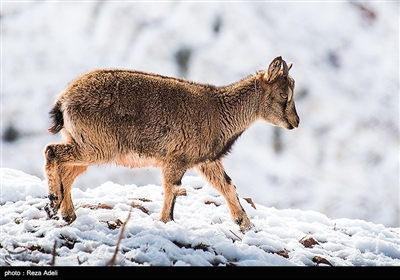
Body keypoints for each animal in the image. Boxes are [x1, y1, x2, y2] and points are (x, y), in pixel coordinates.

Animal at [44, 55, 300, 232]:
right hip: (98, 146)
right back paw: (53, 202)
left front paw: (246, 225)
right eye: (283, 94)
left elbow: (227, 186)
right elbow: (173, 187)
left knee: (67, 171)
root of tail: (64, 99)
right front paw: (166, 221)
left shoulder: (207, 161)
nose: (296, 122)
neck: (220, 112)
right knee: (52, 152)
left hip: (84, 144)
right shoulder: (178, 158)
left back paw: (66, 213)